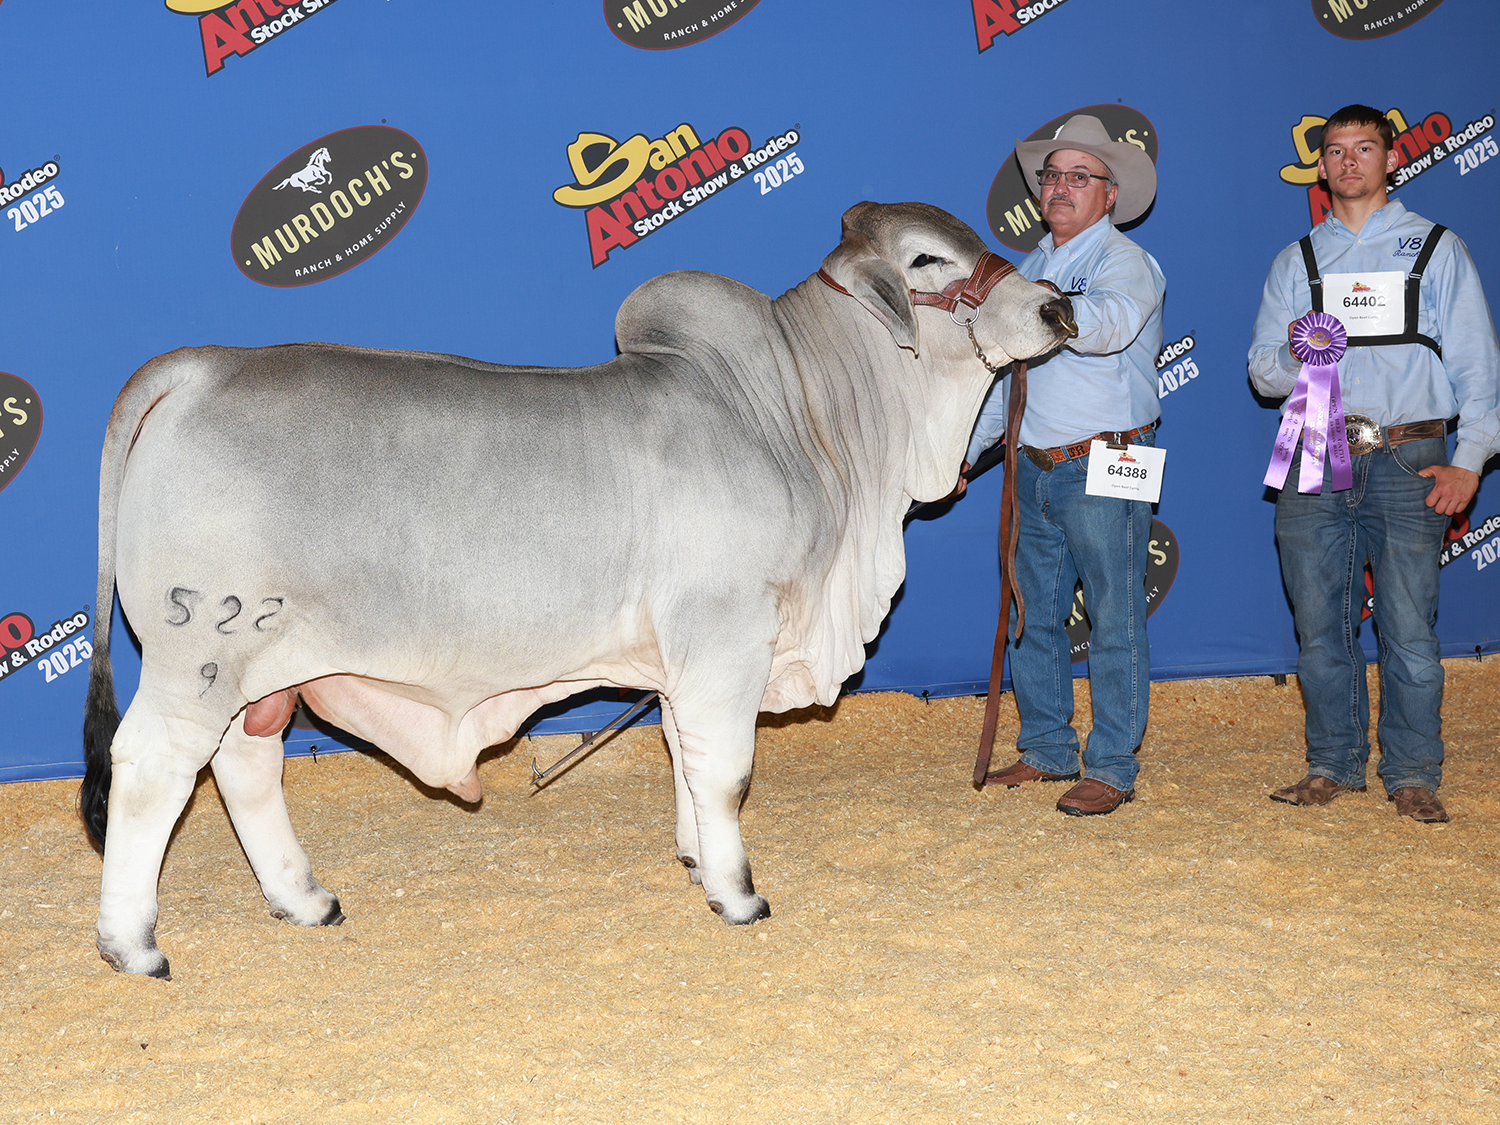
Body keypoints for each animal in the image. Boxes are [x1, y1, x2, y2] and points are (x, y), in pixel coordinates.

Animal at [82, 202, 1074, 978]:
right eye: (928, 260)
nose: (1058, 306)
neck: (803, 421)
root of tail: (198, 365)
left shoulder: (686, 661)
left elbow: (685, 755)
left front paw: (695, 861)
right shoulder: (726, 636)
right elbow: (727, 770)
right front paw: (739, 893)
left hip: (263, 670)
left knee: (243, 763)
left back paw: (304, 898)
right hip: (199, 651)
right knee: (152, 769)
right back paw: (135, 944)